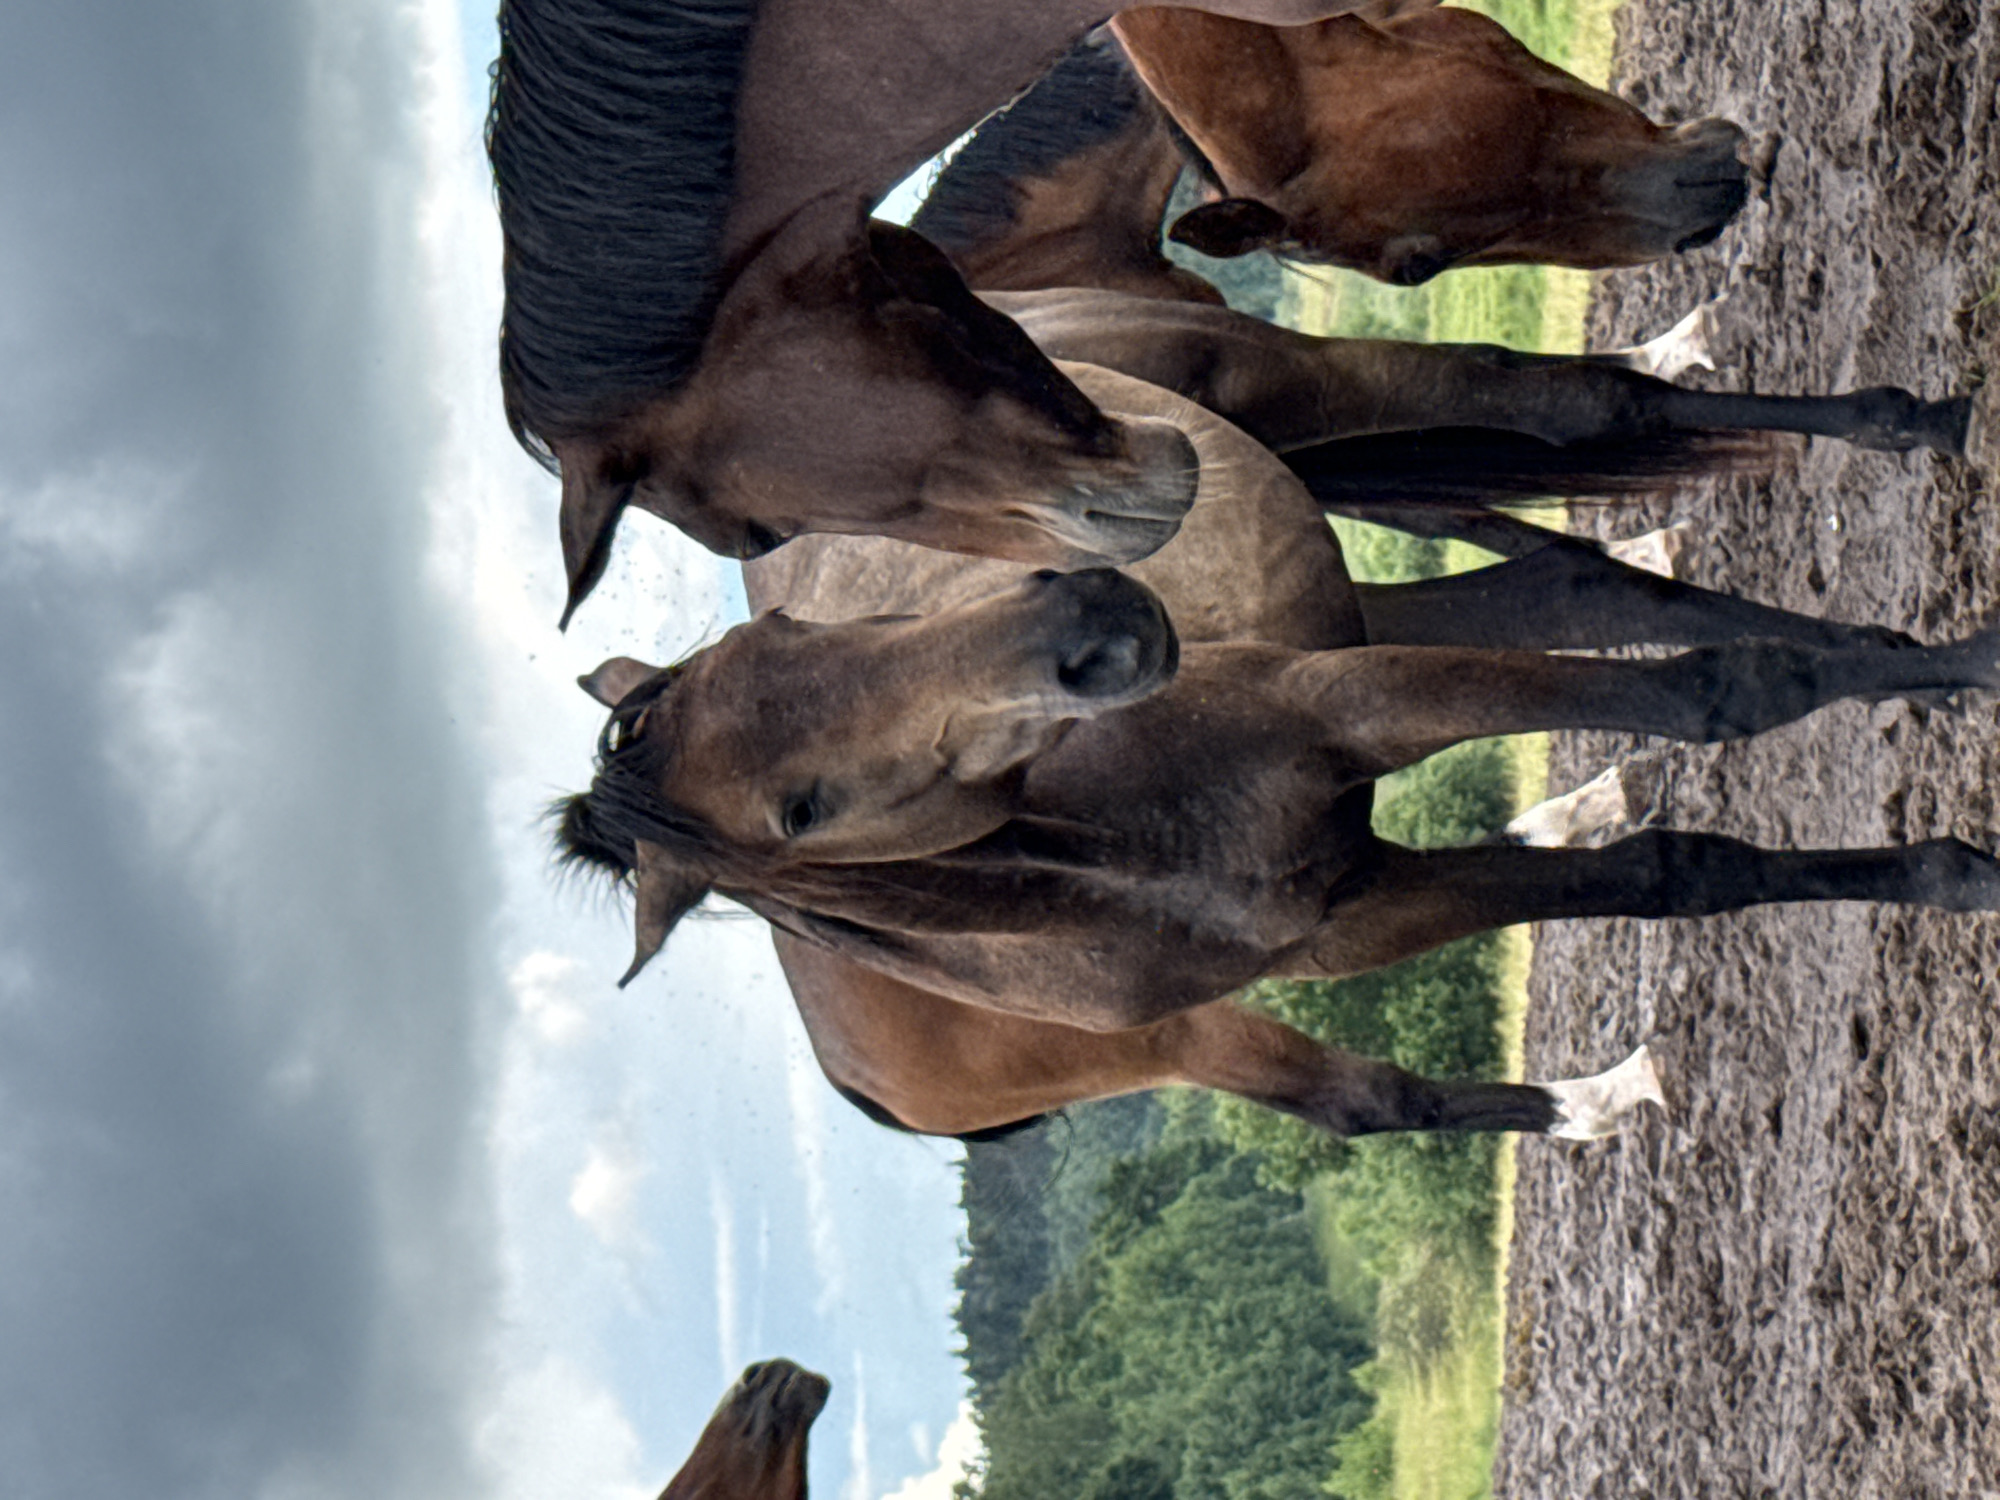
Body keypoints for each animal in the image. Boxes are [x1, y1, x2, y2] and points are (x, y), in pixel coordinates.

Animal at [555, 365, 2000, 1145]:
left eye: (793, 629)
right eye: (800, 810)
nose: (1091, 624)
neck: (1122, 846)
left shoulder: (1353, 733)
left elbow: (1690, 792)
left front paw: (1945, 738)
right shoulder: (1363, 905)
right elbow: (1712, 739)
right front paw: (1954, 823)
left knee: (1572, 516)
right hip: (1189, 1044)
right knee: (1378, 1106)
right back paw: (1593, 1098)